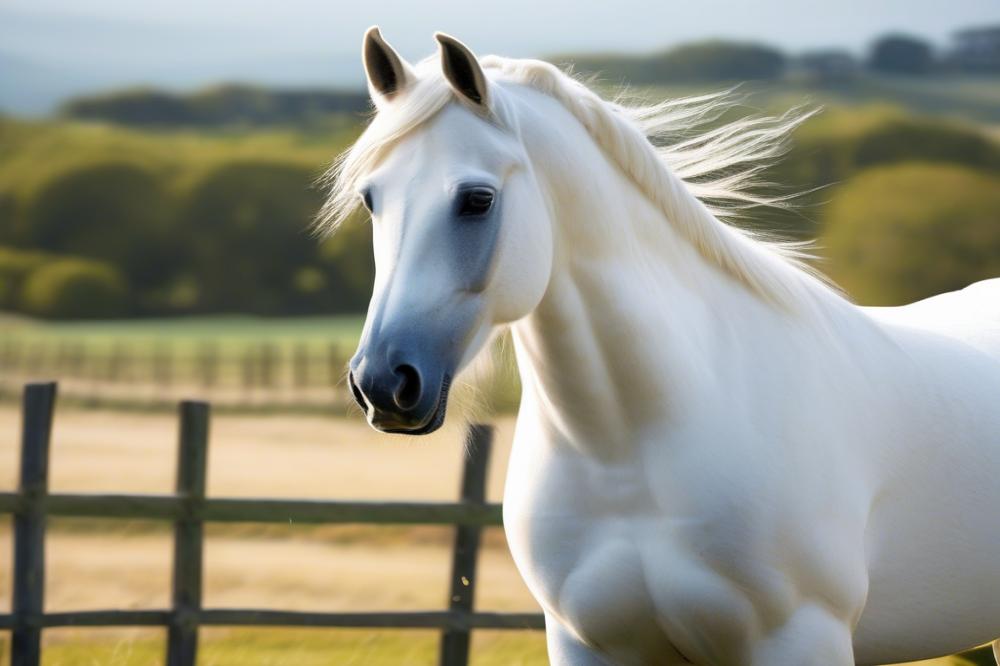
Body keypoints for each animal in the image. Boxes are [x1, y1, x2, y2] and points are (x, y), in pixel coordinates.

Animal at [321, 26, 1000, 666]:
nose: (382, 382)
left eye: (477, 199)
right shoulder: (586, 644)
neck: (634, 449)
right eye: (371, 199)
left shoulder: (801, 640)